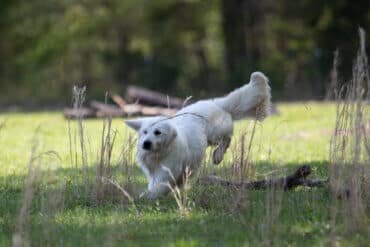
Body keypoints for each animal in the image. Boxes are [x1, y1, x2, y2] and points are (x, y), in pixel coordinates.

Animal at [125, 71, 270, 199]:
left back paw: (217, 156)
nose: (146, 143)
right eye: (144, 132)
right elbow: (153, 185)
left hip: (215, 134)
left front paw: (146, 197)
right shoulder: (153, 174)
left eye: (157, 132)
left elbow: (157, 188)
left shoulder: (168, 172)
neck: (160, 153)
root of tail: (216, 103)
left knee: (227, 139)